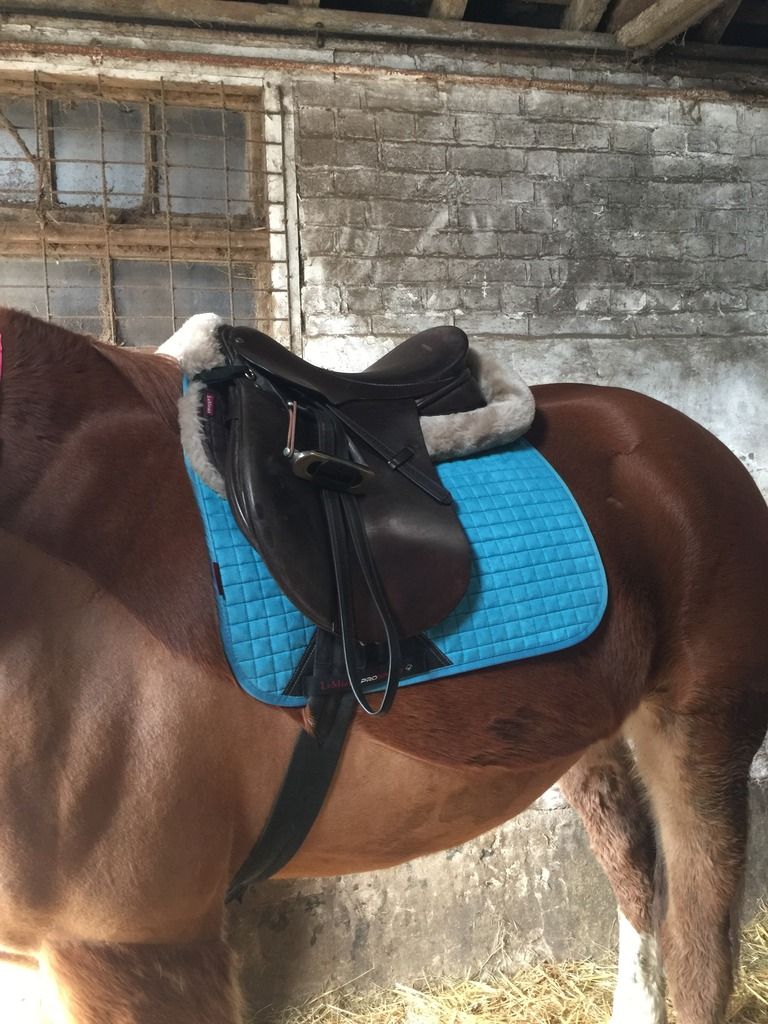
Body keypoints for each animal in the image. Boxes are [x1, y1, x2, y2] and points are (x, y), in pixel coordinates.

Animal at [0, 305, 767, 1024]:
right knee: (637, 881)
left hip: (703, 731)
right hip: (589, 735)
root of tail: (689, 440)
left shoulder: (134, 939)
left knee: (700, 941)